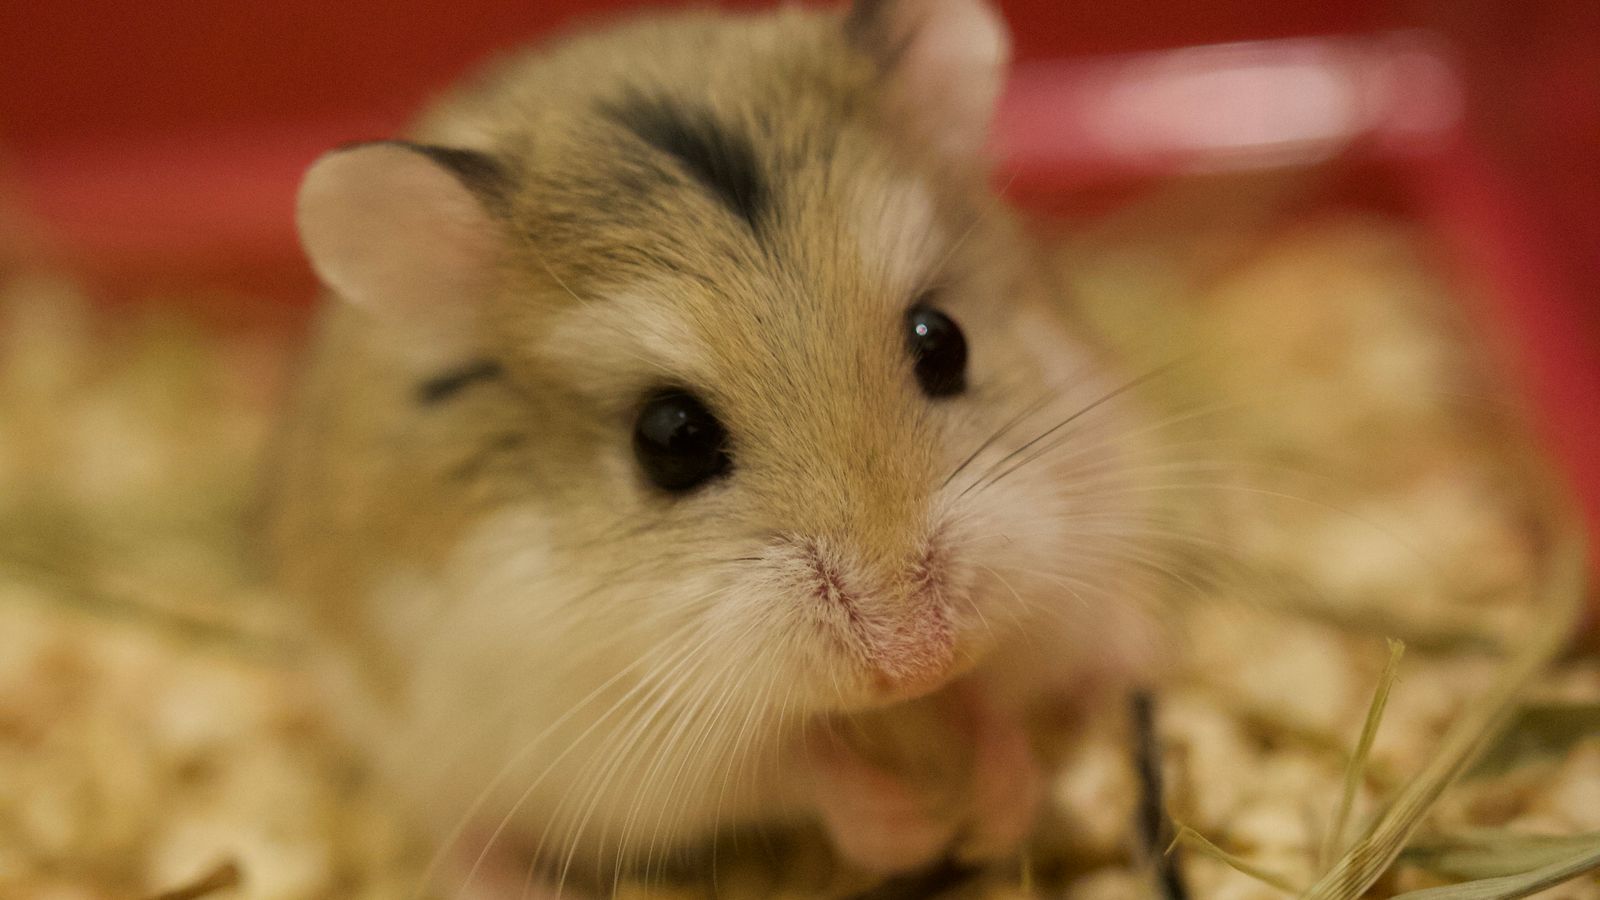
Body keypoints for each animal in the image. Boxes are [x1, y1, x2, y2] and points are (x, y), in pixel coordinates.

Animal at [266, 0, 1161, 893]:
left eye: (943, 341)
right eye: (669, 438)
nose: (915, 659)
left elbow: (992, 703)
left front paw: (997, 809)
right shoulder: (615, 732)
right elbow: (795, 766)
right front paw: (910, 832)